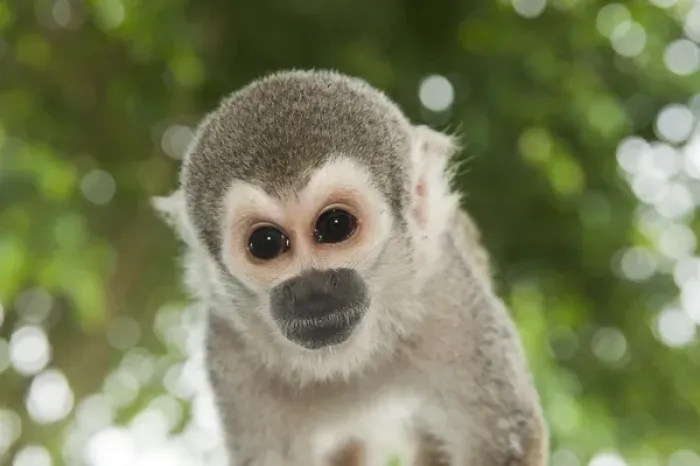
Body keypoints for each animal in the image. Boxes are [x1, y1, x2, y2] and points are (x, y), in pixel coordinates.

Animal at [154, 69, 548, 466]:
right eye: (265, 243)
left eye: (335, 225)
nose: (311, 291)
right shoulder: (231, 354)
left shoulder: (452, 302)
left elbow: (506, 442)